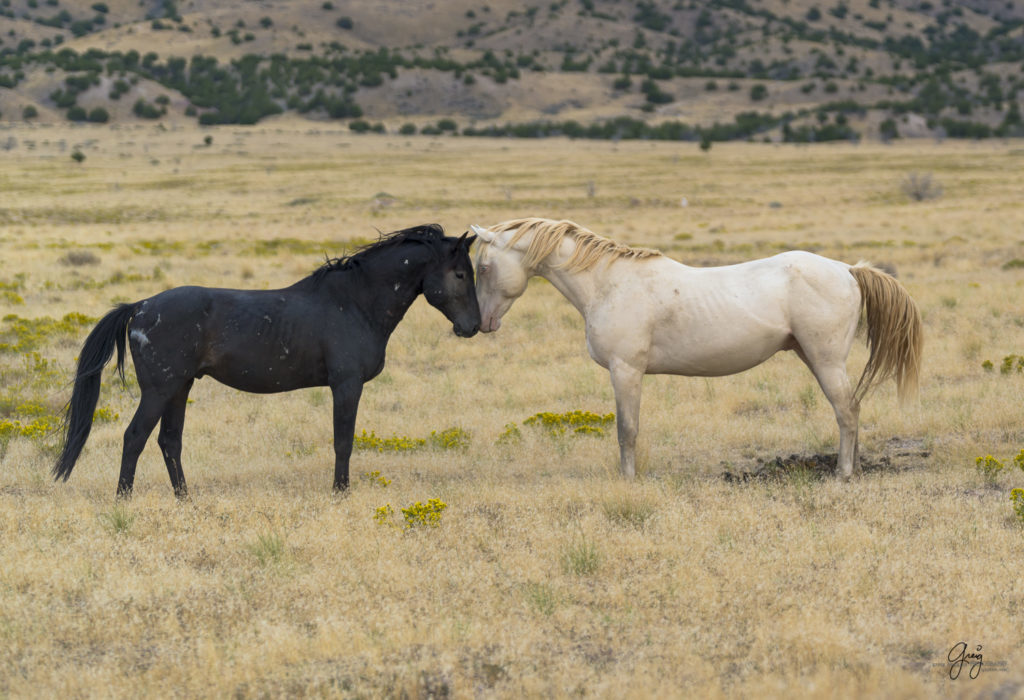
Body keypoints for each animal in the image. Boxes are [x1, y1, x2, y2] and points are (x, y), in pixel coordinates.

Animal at [56, 224, 483, 497]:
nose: (474, 326)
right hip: (160, 390)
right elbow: (343, 442)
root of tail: (141, 306)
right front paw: (340, 493)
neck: (355, 302)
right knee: (135, 437)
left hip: (179, 387)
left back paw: (185, 498)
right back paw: (123, 499)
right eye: (461, 274)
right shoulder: (346, 385)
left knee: (169, 441)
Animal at [468, 216, 921, 480]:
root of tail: (849, 270)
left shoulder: (625, 370)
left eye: (483, 267)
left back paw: (843, 474)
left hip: (826, 361)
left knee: (847, 411)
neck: (608, 283)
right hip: (813, 358)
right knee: (851, 410)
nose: (480, 324)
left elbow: (626, 430)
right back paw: (855, 467)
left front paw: (628, 480)